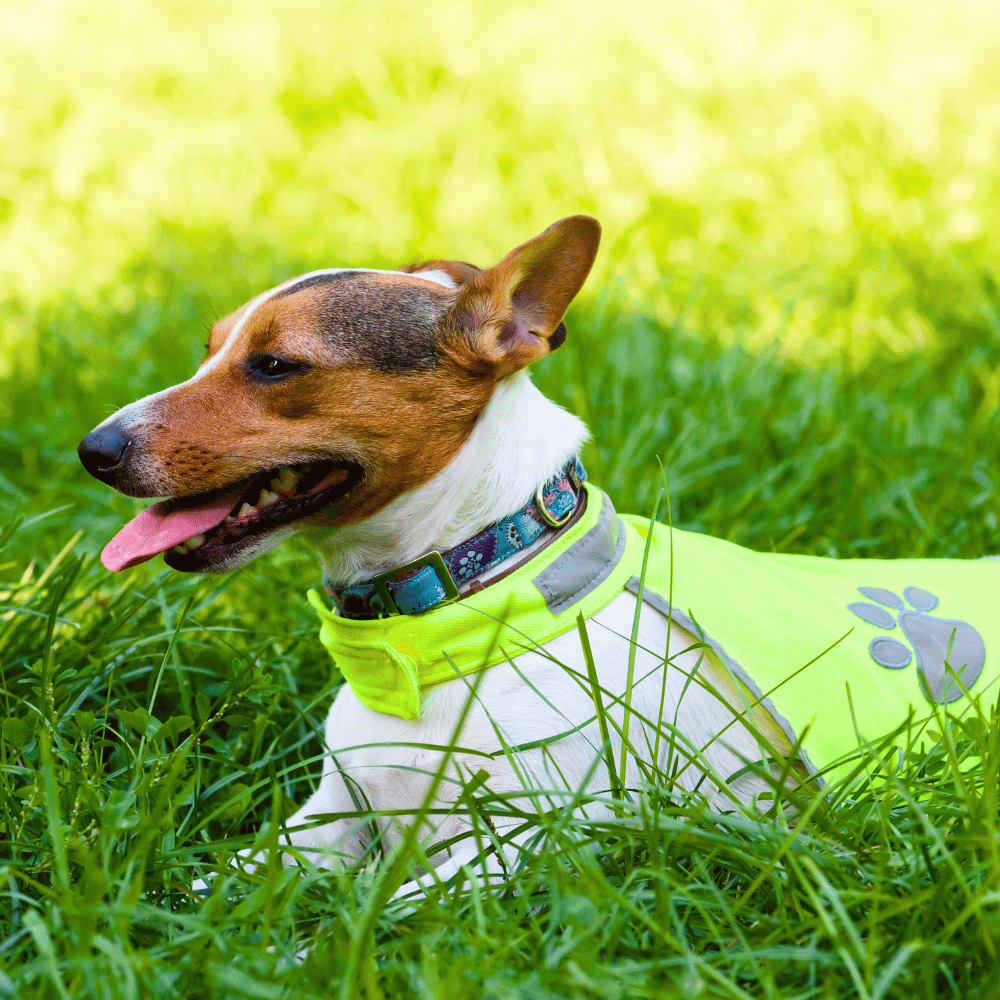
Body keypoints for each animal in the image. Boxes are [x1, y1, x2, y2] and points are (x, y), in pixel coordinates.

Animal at [80, 217, 1000, 884]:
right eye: (211, 350)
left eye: (274, 365)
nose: (93, 448)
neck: (455, 606)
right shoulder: (330, 818)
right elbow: (216, 887)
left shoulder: (525, 840)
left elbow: (374, 917)